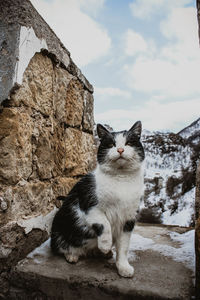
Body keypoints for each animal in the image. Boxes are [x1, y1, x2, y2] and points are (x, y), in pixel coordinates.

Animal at [50, 120, 145, 278]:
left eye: (128, 143)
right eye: (111, 144)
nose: (120, 150)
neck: (122, 179)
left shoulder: (129, 218)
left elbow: (123, 247)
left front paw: (123, 268)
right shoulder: (88, 205)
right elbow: (104, 224)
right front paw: (105, 244)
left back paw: (103, 254)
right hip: (59, 226)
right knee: (61, 248)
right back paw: (73, 255)